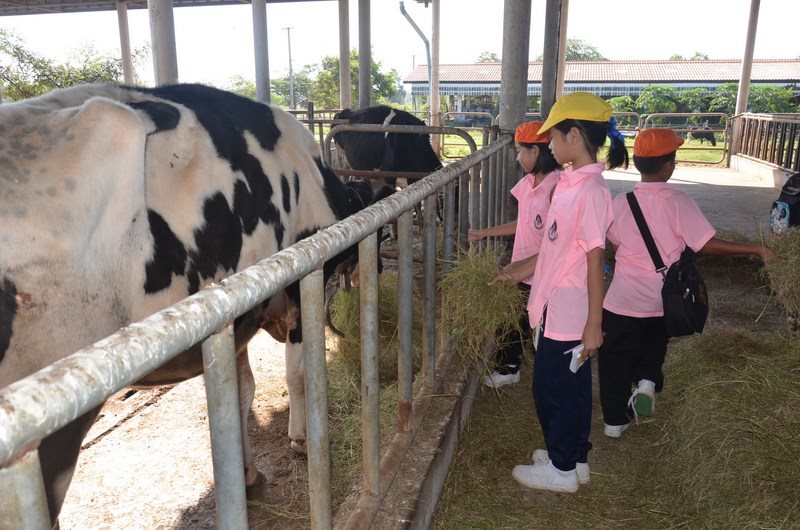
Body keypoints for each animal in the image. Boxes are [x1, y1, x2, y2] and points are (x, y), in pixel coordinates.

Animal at [0, 83, 388, 524]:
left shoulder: (233, 315)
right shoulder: (300, 283)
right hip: (52, 434)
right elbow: (298, 374)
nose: (377, 268)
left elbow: (240, 393)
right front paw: (302, 439)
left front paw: (245, 473)